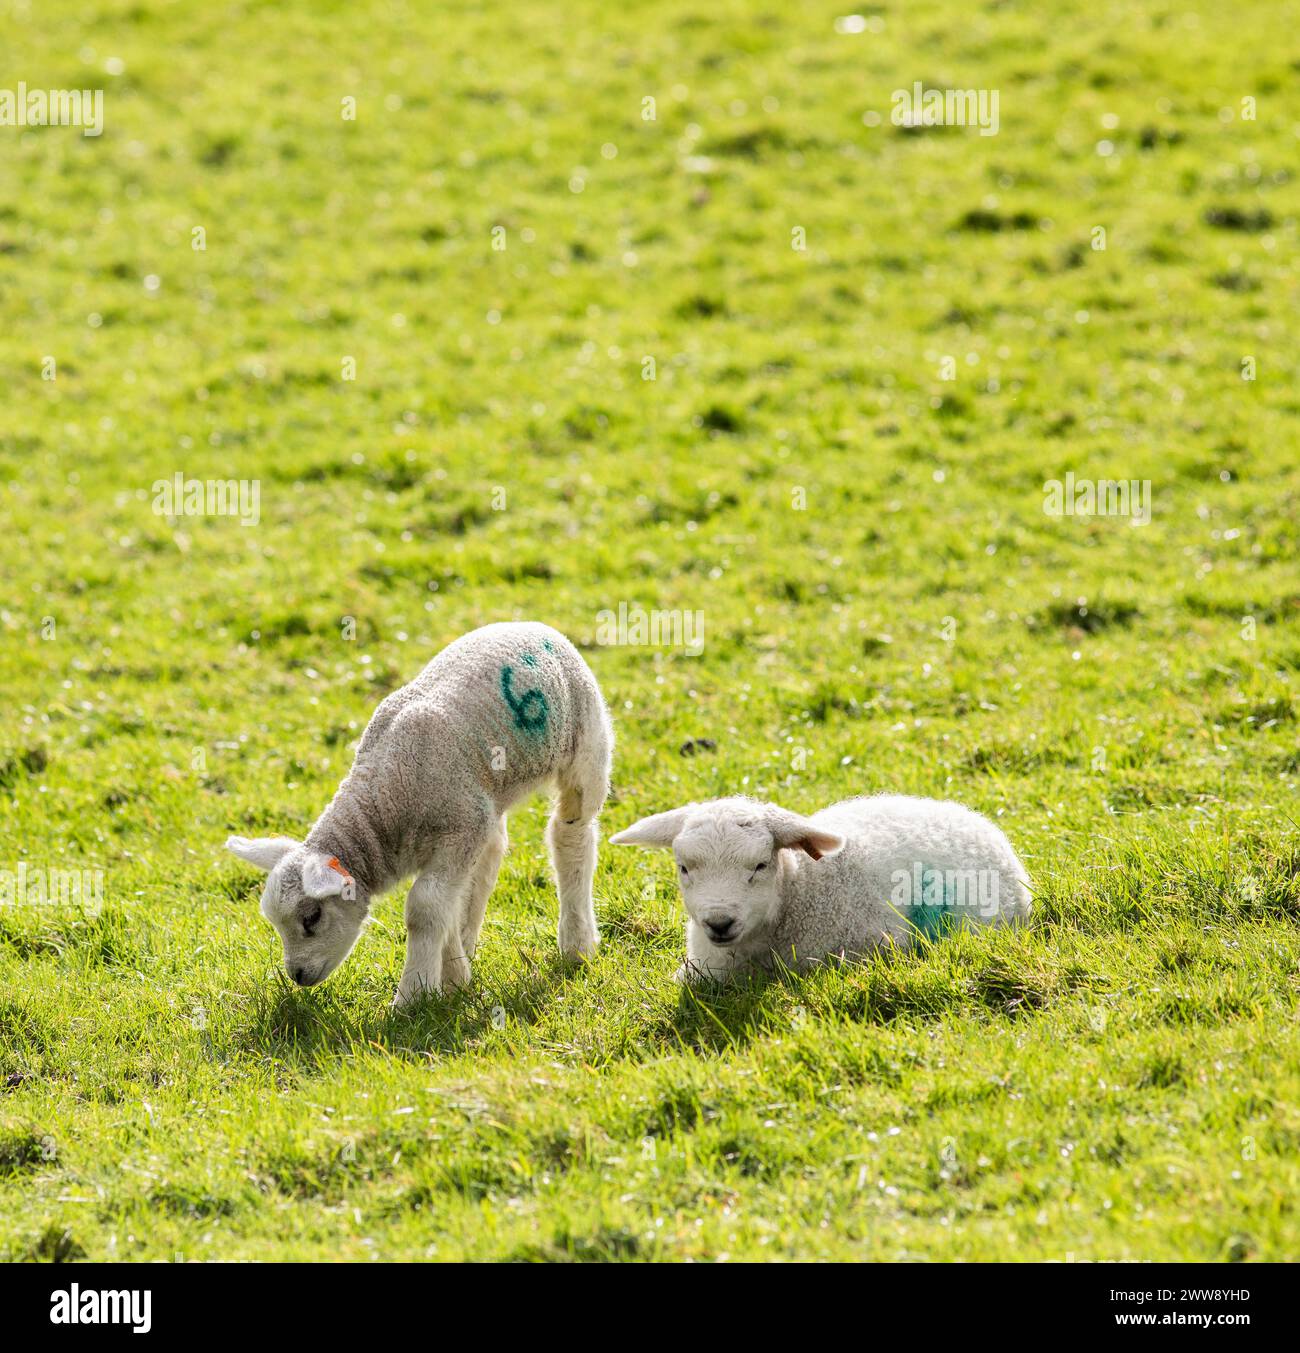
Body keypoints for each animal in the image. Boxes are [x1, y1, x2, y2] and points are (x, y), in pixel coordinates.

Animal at [226, 621, 612, 1007]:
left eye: (311, 917)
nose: (298, 975)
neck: (385, 802)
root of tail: (531, 625)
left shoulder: (461, 829)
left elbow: (424, 907)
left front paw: (414, 996)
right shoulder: (466, 829)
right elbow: (445, 905)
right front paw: (455, 979)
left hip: (585, 741)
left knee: (571, 834)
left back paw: (577, 944)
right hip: (491, 794)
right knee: (491, 855)